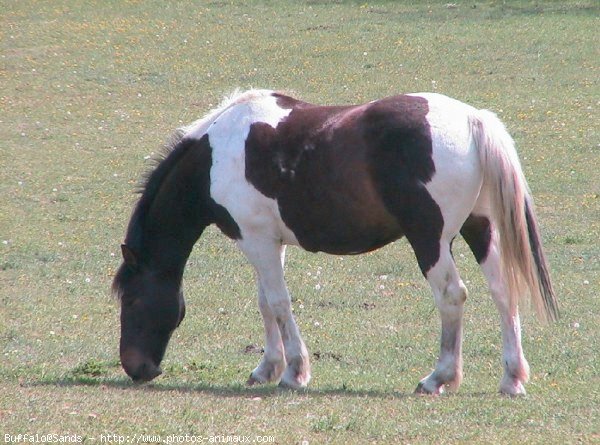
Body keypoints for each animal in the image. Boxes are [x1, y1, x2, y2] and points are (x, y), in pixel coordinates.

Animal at [112, 88, 556, 394]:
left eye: (130, 301)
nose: (135, 368)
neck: (216, 155)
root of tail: (471, 119)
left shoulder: (256, 241)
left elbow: (278, 304)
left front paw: (294, 373)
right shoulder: (268, 243)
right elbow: (265, 303)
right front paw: (267, 368)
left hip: (430, 239)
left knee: (451, 296)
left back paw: (438, 377)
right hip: (480, 228)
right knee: (503, 292)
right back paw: (512, 378)